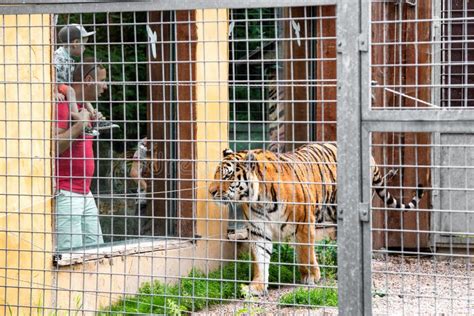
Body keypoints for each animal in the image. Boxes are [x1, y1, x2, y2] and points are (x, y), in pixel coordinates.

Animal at [209, 143, 424, 296]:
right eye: (215, 174)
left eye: (227, 176)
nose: (210, 191)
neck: (259, 198)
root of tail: (370, 158)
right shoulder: (258, 229)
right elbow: (260, 259)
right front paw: (257, 287)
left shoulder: (303, 223)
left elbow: (305, 254)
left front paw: (311, 277)